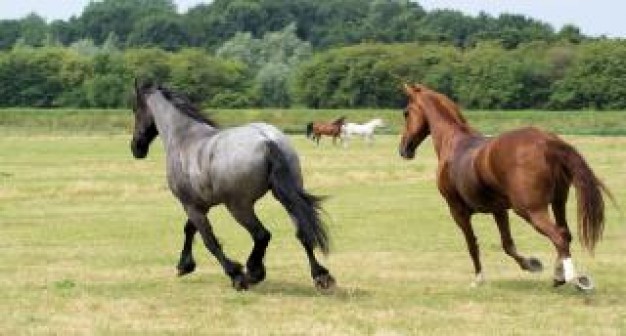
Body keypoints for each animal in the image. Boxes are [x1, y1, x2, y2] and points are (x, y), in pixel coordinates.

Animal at [129, 82, 334, 292]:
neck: (184, 138)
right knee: (303, 231)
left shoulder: (190, 205)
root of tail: (267, 140)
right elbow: (189, 229)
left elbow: (209, 241)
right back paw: (320, 275)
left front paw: (235, 274)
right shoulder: (201, 205)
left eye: (135, 110)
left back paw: (253, 272)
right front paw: (184, 265)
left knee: (262, 235)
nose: (136, 147)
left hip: (239, 207)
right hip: (286, 197)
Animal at [398, 84, 608, 292]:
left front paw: (479, 279)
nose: (403, 149)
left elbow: (472, 244)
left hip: (530, 211)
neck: (453, 143)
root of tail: (546, 142)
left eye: (406, 113)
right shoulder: (498, 210)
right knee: (565, 233)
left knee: (559, 237)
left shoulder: (458, 211)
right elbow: (507, 244)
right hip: (558, 202)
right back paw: (559, 277)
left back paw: (575, 279)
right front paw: (532, 264)